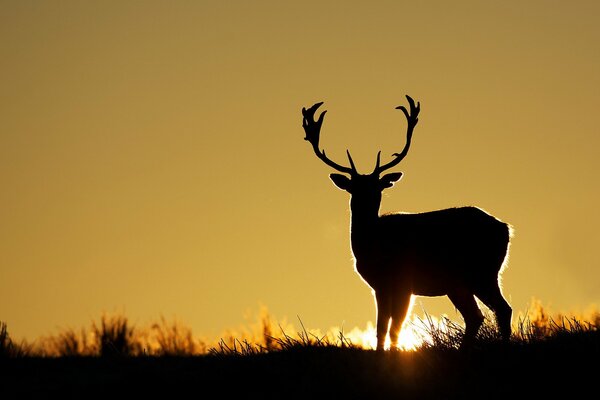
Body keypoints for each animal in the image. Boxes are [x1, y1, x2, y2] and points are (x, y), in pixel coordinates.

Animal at [300, 96, 510, 350]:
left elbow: (394, 328)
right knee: (476, 316)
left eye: (378, 187)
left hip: (482, 271)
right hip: (459, 282)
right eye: (354, 188)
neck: (372, 247)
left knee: (502, 309)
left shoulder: (404, 282)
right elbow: (381, 328)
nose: (367, 201)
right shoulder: (380, 286)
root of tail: (506, 228)